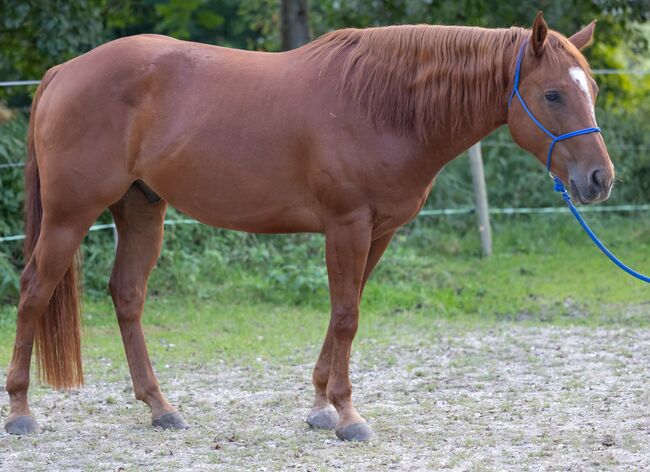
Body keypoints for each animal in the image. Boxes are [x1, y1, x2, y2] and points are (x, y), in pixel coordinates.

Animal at [5, 12, 612, 440]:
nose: (599, 179)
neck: (383, 105)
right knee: (34, 291)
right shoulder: (348, 226)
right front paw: (349, 416)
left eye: (593, 90)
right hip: (69, 216)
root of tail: (64, 72)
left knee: (127, 296)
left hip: (141, 211)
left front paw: (322, 407)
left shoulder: (377, 232)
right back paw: (21, 411)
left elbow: (345, 312)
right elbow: (346, 317)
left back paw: (161, 408)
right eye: (553, 93)